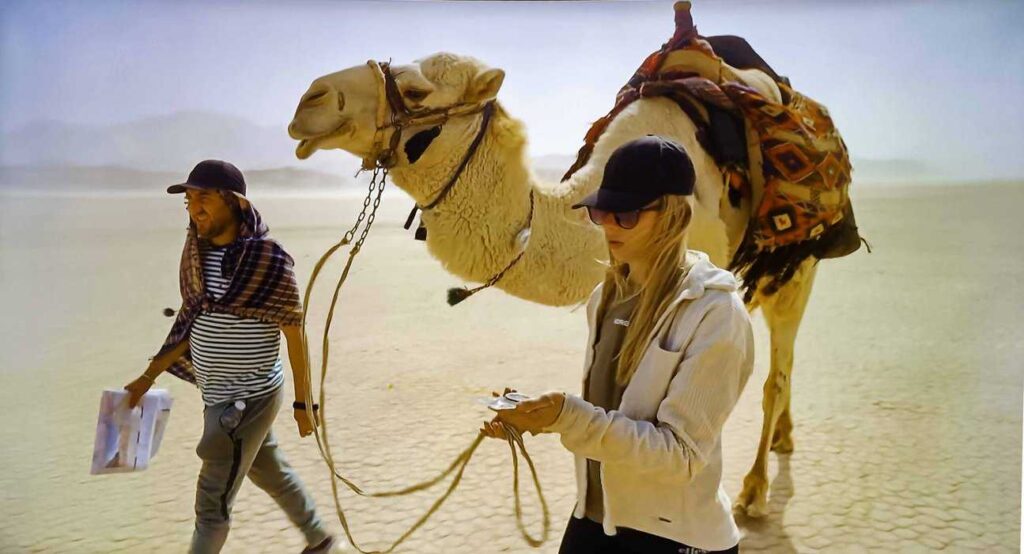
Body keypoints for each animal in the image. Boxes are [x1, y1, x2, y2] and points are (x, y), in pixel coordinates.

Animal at [286, 48, 815, 518]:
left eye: (417, 92)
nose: (309, 99)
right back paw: (785, 437)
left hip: (799, 265)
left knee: (777, 371)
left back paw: (755, 492)